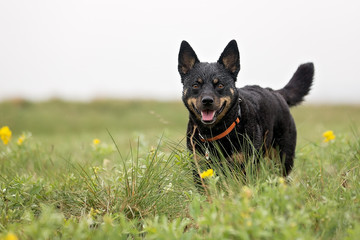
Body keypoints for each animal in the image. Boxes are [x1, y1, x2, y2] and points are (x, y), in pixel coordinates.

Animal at [179, 39, 314, 178]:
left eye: (220, 85)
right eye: (195, 85)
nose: (207, 101)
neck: (214, 133)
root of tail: (275, 92)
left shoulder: (246, 167)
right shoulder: (199, 168)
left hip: (283, 158)